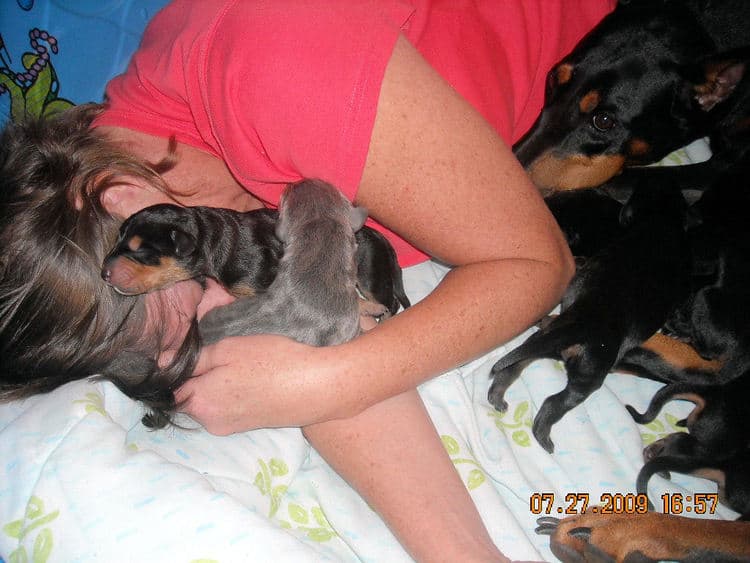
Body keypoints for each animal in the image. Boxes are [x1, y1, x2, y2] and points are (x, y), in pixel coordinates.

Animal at [488, 184, 692, 454]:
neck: (660, 220)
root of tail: (582, 320)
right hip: (590, 371)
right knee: (554, 402)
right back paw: (544, 437)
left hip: (543, 340)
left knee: (513, 366)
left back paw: (498, 395)